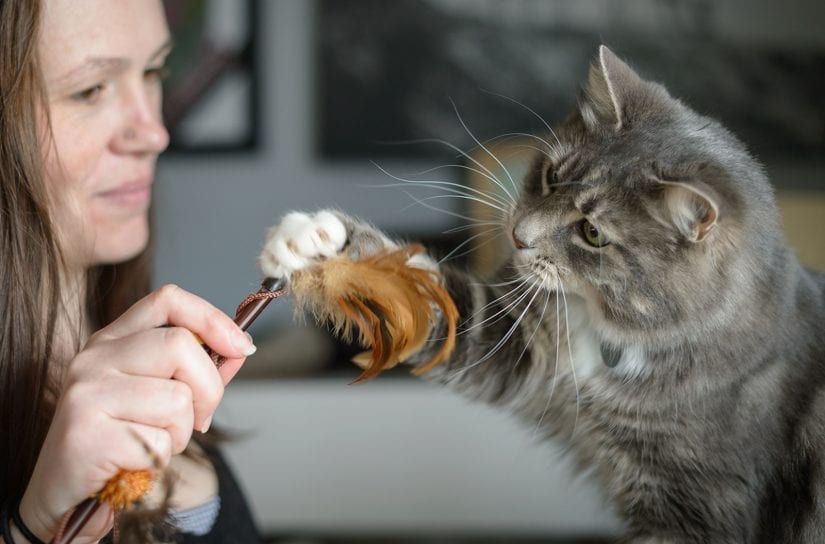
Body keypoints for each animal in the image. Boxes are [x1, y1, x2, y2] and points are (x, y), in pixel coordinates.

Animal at [260, 47, 824, 544]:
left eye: (593, 233)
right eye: (552, 176)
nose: (519, 236)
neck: (607, 340)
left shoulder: (696, 509)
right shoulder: (513, 340)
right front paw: (312, 241)